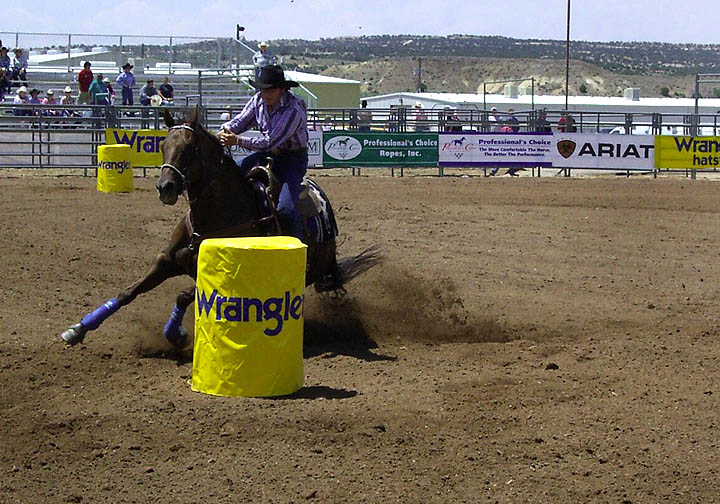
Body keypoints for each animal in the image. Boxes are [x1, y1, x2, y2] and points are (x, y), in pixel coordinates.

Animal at [60, 109, 382, 348]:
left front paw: (176, 334)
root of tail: (322, 202)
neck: (214, 218)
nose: (165, 187)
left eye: (190, 149)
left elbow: (183, 296)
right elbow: (129, 291)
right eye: (162, 146)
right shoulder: (165, 261)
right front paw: (77, 329)